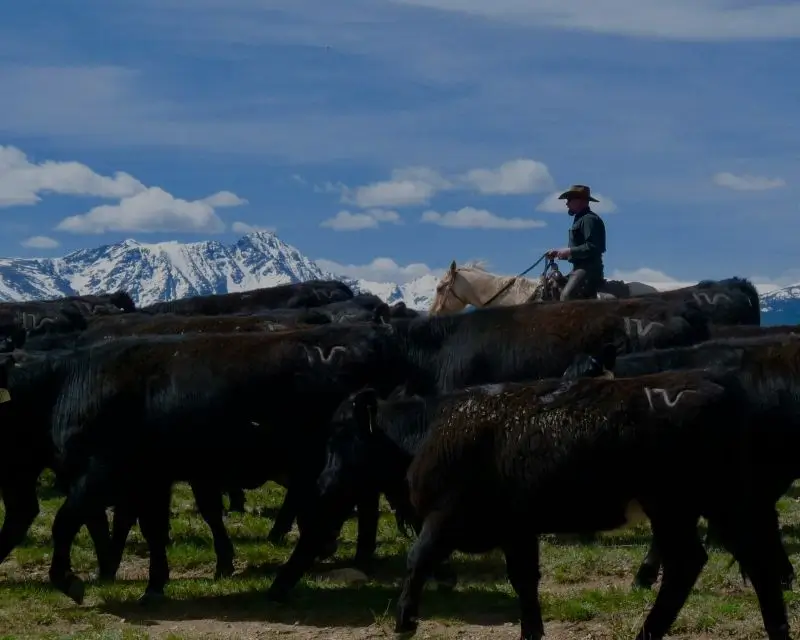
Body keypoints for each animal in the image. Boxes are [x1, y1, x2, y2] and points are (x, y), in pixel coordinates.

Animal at [0, 310, 409, 605]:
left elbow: (65, 522)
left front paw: (70, 580)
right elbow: (152, 529)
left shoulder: (98, 475)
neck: (65, 386)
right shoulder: (150, 480)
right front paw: (154, 585)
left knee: (330, 518)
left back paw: (290, 580)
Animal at [394, 370, 790, 640]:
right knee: (747, 561)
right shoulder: (517, 529)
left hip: (680, 505)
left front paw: (404, 622)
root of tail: (713, 383)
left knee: (699, 563)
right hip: (712, 505)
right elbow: (524, 579)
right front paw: (531, 632)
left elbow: (418, 558)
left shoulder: (444, 515)